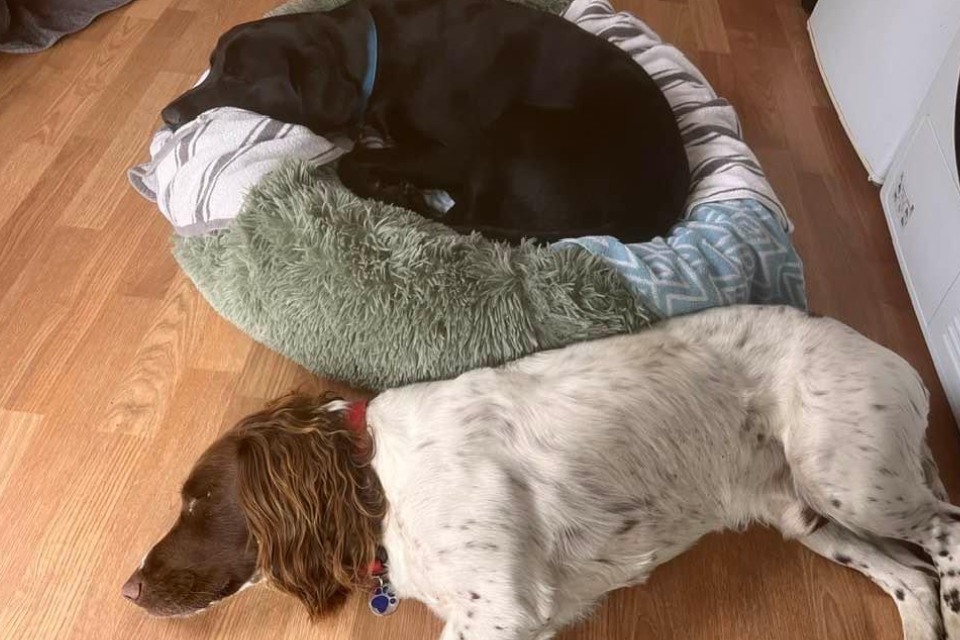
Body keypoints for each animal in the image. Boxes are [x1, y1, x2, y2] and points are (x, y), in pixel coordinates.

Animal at [124, 306, 956, 640]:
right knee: (909, 580)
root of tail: (898, 359)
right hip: (811, 515)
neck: (379, 487)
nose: (128, 588)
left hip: (847, 477)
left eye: (198, 501)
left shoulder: (499, 613)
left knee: (946, 540)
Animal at [163, 0, 688, 244]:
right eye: (211, 65)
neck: (372, 52)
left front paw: (391, 185)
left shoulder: (454, 153)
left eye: (237, 77)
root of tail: (658, 210)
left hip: (516, 128)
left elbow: (350, 163)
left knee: (463, 217)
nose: (167, 116)